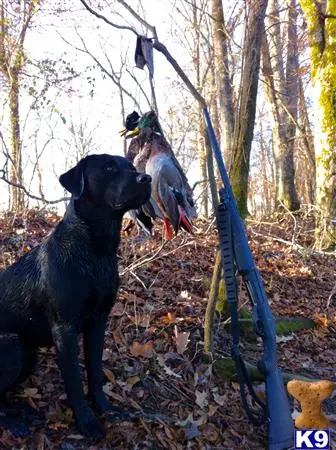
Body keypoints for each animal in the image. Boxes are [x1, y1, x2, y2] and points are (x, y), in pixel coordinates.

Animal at [0, 154, 151, 440]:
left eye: (131, 166)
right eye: (108, 167)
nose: (146, 178)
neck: (95, 251)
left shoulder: (99, 321)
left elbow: (94, 371)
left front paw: (106, 409)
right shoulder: (65, 329)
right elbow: (73, 381)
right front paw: (87, 422)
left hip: (28, 354)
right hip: (12, 347)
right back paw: (16, 422)